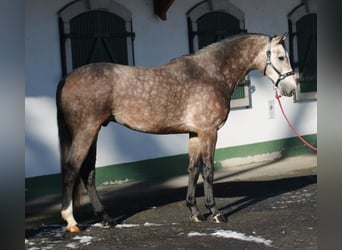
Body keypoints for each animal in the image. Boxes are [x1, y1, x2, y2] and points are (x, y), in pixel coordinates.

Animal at [56, 32, 296, 232]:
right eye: (281, 57)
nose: (292, 89)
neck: (211, 73)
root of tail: (67, 78)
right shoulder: (209, 131)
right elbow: (208, 170)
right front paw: (215, 212)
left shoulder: (195, 133)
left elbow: (193, 169)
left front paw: (195, 212)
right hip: (86, 130)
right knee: (72, 169)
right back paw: (71, 221)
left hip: (94, 131)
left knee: (88, 172)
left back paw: (106, 218)